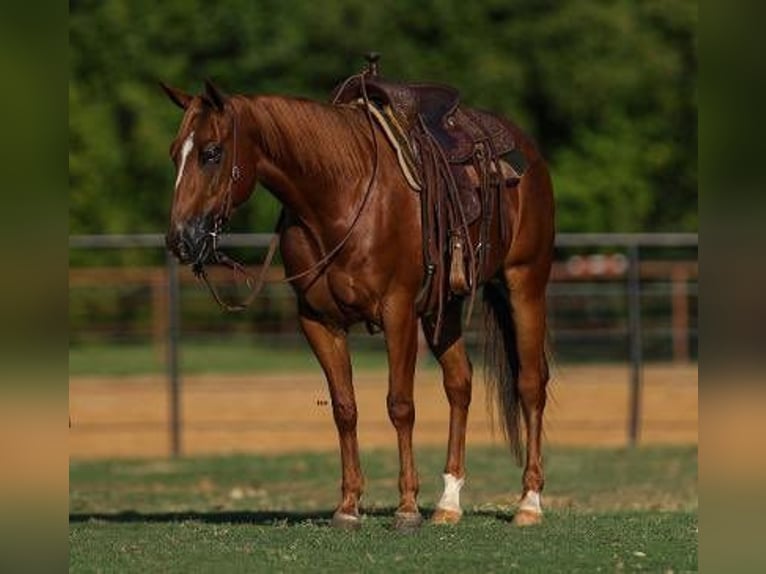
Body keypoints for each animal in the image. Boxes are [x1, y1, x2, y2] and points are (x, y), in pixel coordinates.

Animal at [164, 77, 560, 532]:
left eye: (211, 152)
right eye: (175, 153)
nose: (180, 239)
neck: (339, 197)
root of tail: (526, 151)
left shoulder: (398, 311)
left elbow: (400, 405)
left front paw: (406, 507)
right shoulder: (318, 320)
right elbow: (345, 408)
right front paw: (349, 505)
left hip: (525, 283)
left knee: (530, 384)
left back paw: (528, 503)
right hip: (444, 310)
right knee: (460, 384)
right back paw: (448, 502)